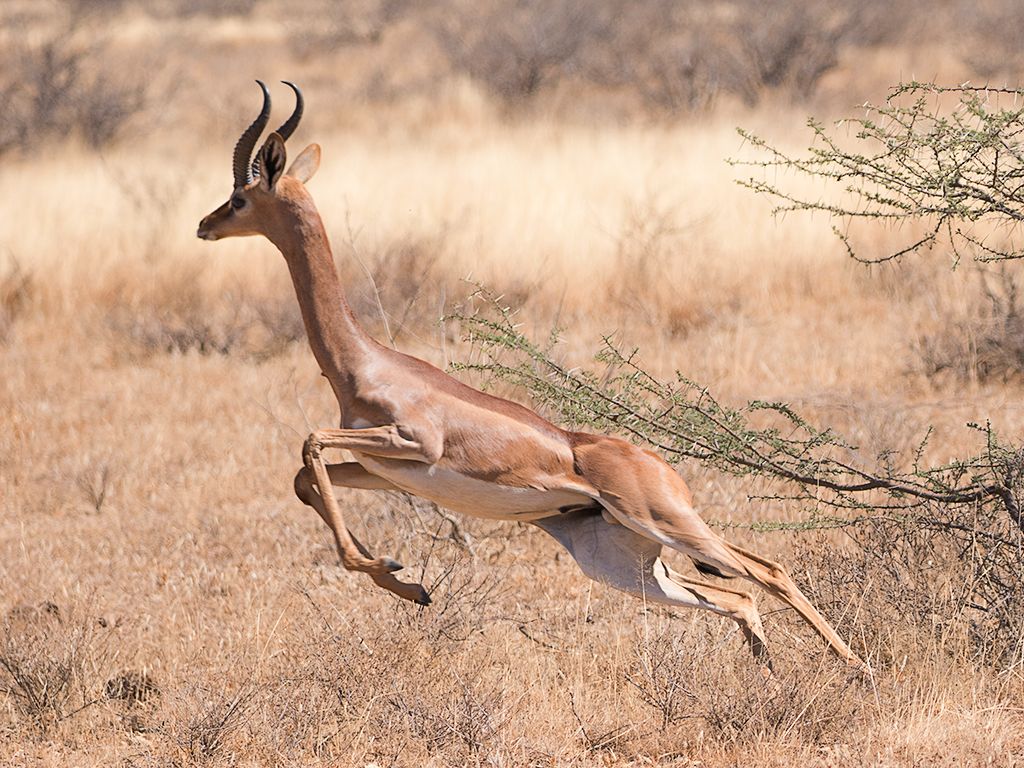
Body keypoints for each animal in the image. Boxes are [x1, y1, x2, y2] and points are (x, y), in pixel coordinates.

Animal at [197, 81, 866, 672]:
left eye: (241, 197)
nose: (205, 225)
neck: (366, 363)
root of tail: (658, 465)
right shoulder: (380, 467)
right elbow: (303, 478)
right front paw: (404, 580)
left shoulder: (412, 445)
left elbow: (308, 443)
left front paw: (397, 574)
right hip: (624, 561)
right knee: (737, 596)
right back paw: (772, 675)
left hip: (668, 523)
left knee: (768, 572)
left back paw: (858, 670)